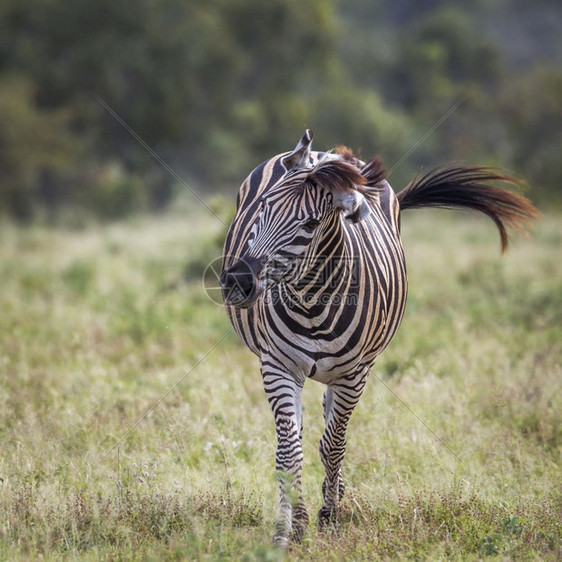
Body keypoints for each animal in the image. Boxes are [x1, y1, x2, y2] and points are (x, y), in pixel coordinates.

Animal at [218, 130, 532, 544]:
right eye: (265, 207)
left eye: (310, 224)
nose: (237, 282)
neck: (311, 302)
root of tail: (322, 154)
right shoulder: (277, 366)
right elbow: (290, 451)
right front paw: (291, 529)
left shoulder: (355, 375)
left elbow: (332, 446)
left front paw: (329, 515)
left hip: (345, 370)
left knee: (330, 429)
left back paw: (335, 493)